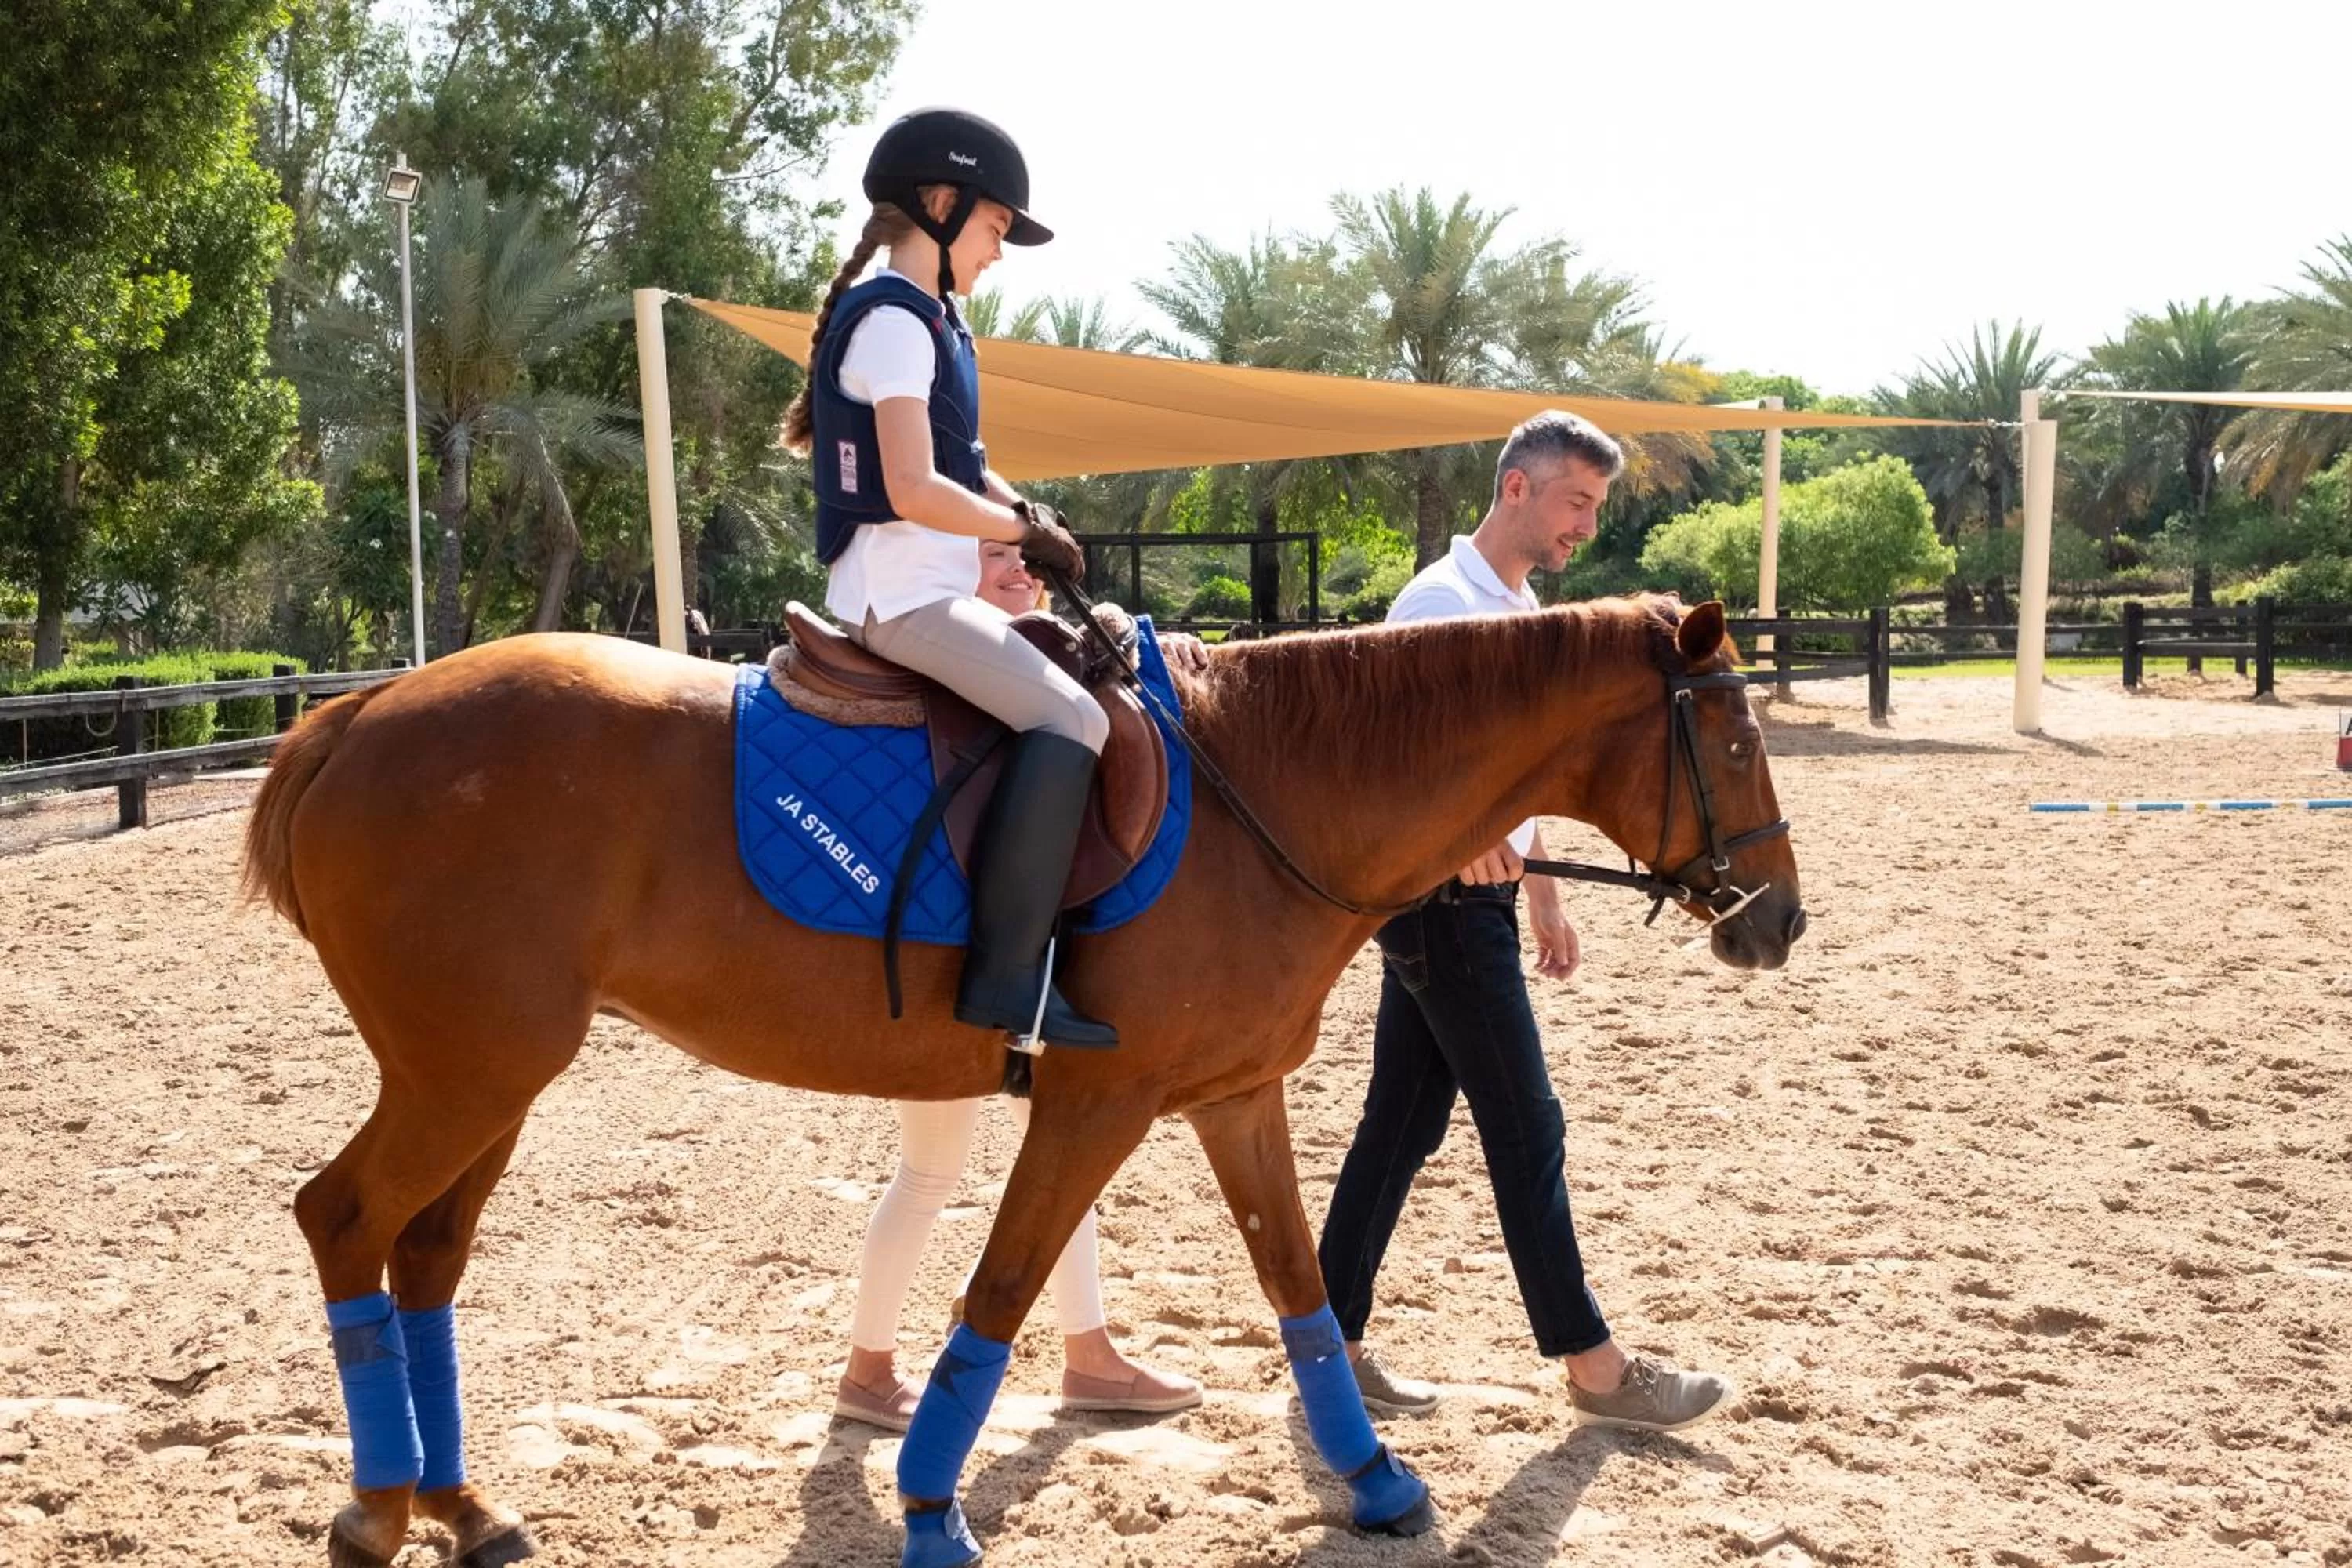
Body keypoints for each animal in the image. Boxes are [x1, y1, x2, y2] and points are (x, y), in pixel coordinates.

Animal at [240, 594, 1804, 1567]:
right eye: (1733, 739)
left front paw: (1374, 1481)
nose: (1780, 923)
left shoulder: (1231, 1098)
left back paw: (463, 1507)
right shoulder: (1094, 1104)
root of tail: (355, 717)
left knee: (427, 1257)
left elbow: (1298, 1285)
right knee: (344, 1220)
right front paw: (931, 1506)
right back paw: (376, 1512)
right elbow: (996, 1293)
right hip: (466, 1073)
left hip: (497, 1079)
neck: (1266, 791)